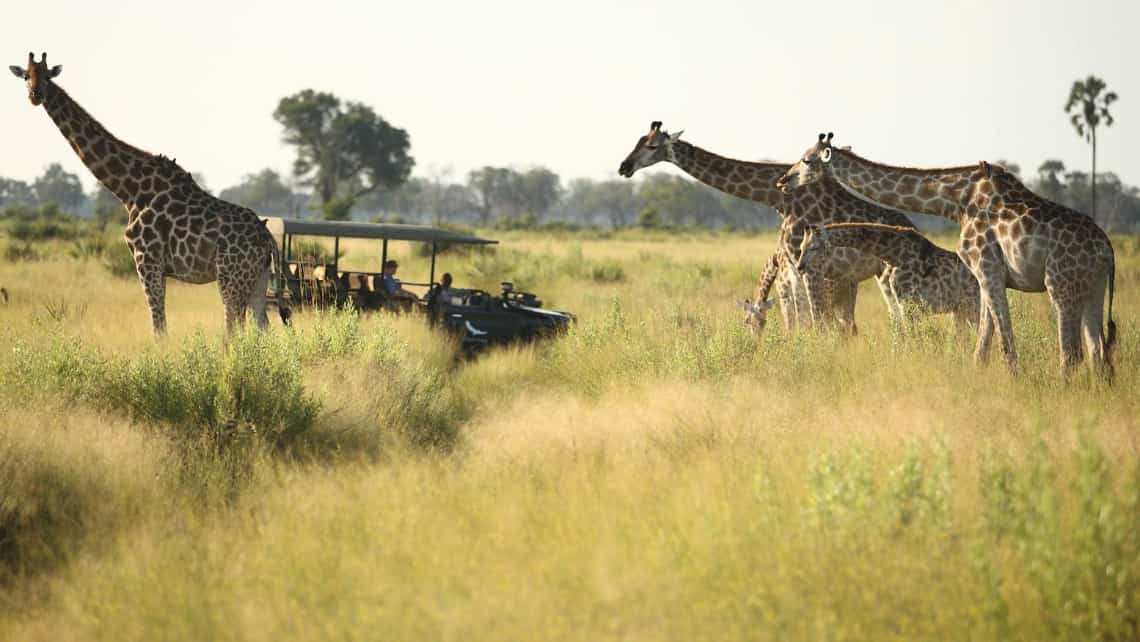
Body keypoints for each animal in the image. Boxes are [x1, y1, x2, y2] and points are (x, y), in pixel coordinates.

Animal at [8, 53, 287, 337]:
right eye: (26, 75)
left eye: (46, 76)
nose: (35, 95)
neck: (129, 190)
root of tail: (267, 238)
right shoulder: (157, 266)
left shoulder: (147, 260)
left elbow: (159, 327)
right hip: (257, 280)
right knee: (262, 328)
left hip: (231, 278)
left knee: (234, 329)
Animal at [615, 122, 916, 337]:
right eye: (638, 141)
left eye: (652, 146)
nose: (623, 166)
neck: (778, 199)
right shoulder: (795, 269)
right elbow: (803, 324)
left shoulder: (808, 267)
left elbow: (814, 324)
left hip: (884, 277)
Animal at [793, 223, 980, 330]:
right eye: (801, 247)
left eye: (814, 247)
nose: (800, 267)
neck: (893, 254)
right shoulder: (904, 303)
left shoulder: (910, 305)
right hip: (960, 309)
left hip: (973, 306)